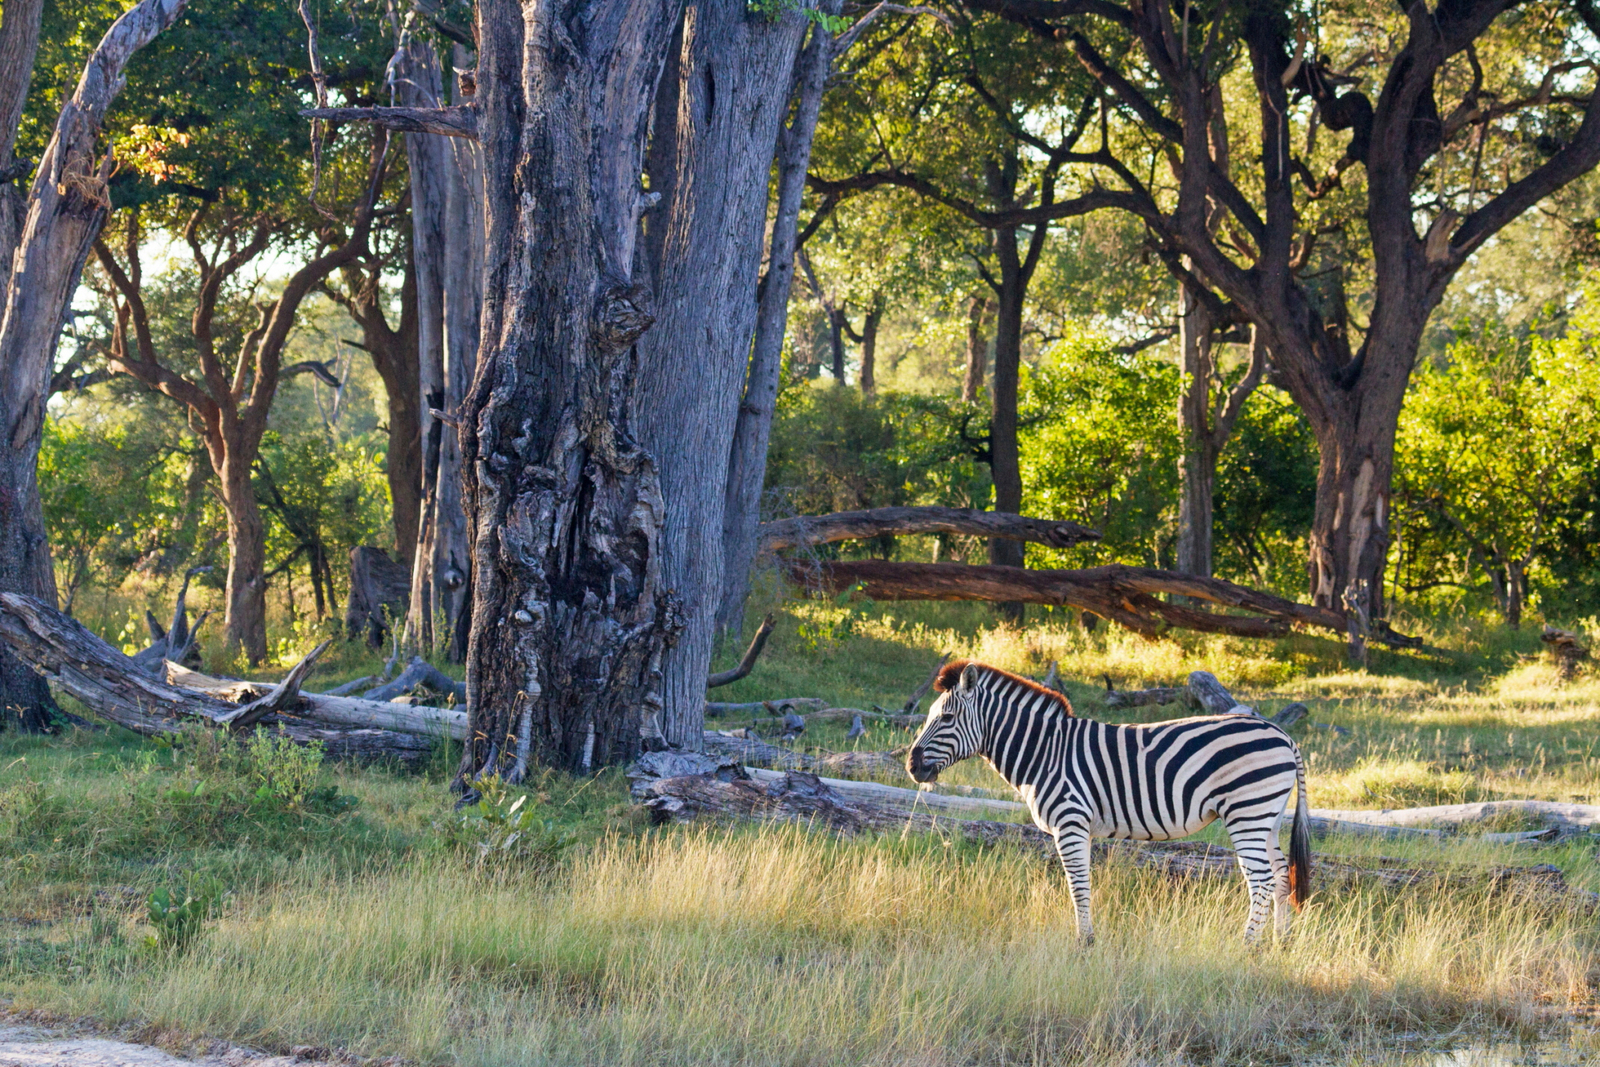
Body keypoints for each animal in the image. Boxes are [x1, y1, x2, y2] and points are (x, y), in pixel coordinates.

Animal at [907, 659, 1310, 944]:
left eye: (946, 717)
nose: (912, 766)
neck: (1045, 752)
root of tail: (1283, 735)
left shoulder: (1070, 822)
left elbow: (1078, 885)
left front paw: (1084, 943)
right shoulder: (1079, 827)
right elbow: (1081, 883)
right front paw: (1087, 940)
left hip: (1247, 813)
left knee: (1261, 879)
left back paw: (1247, 946)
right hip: (1268, 817)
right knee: (1280, 874)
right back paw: (1280, 943)